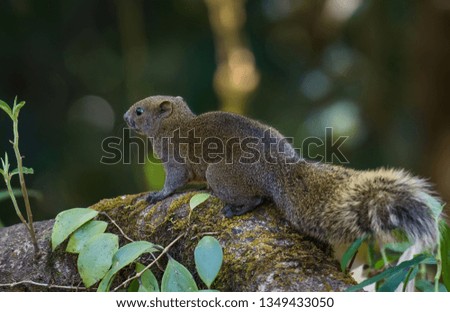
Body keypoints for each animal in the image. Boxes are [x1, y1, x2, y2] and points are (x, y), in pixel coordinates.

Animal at [125, 95, 442, 249]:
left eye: (140, 111)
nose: (126, 116)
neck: (175, 123)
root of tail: (279, 167)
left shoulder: (174, 160)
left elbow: (174, 182)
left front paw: (158, 195)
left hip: (221, 174)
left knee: (255, 198)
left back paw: (237, 208)